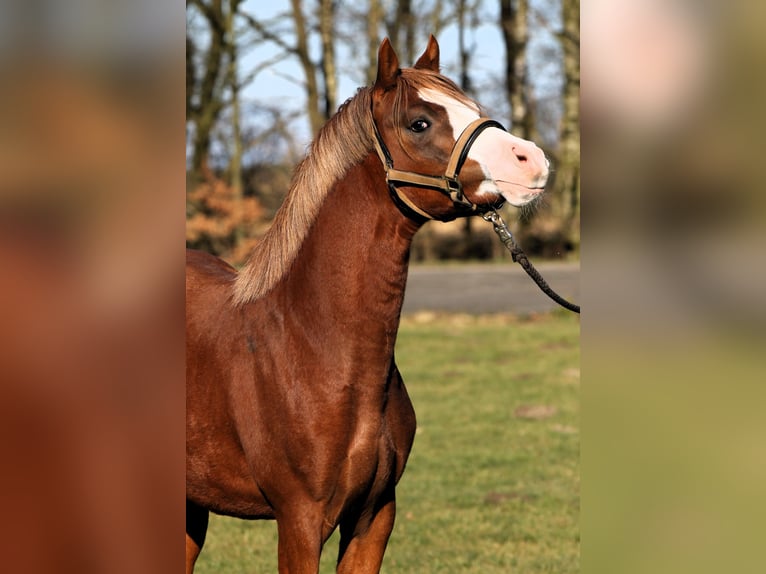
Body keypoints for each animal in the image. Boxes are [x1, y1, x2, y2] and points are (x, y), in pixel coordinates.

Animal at [184, 37, 552, 574]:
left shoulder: (375, 516)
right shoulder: (300, 522)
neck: (315, 348)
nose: (532, 160)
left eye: (473, 106)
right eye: (420, 122)